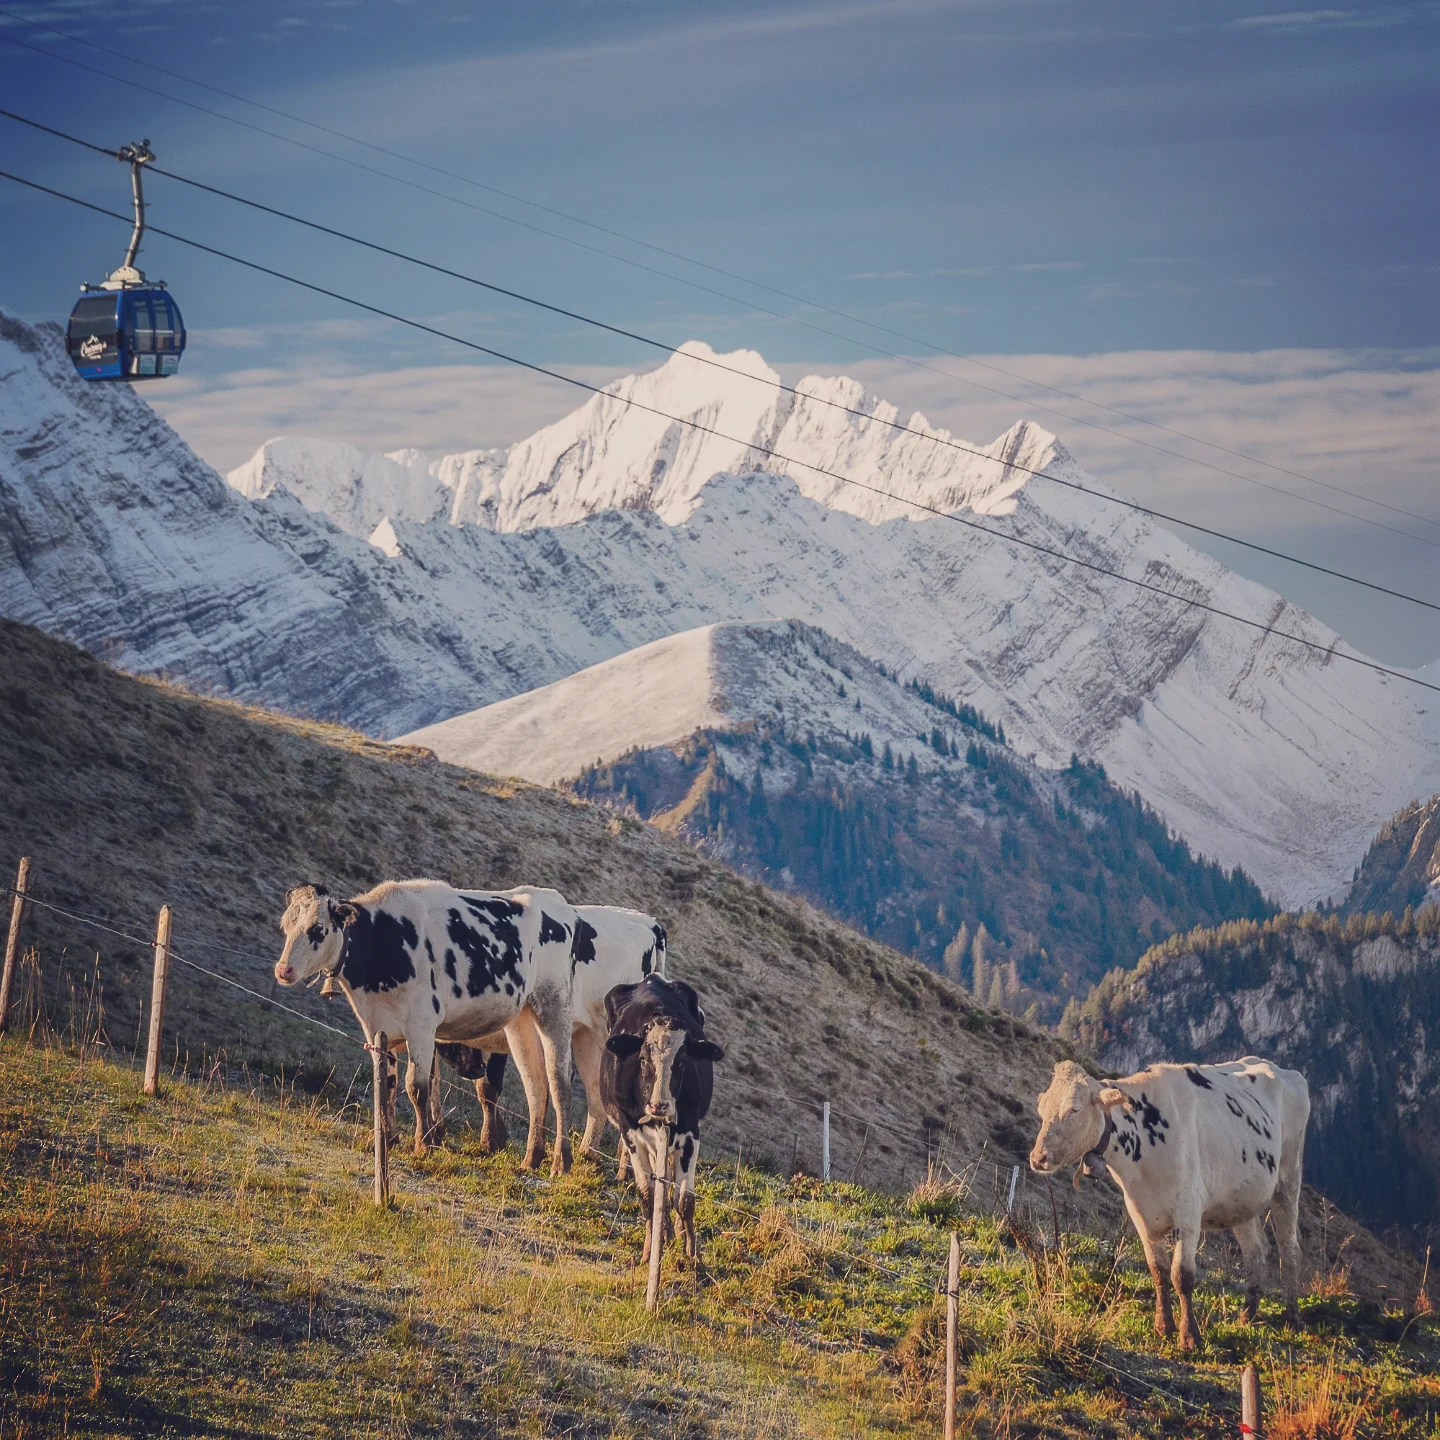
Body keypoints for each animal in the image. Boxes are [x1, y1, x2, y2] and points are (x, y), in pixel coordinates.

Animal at [274, 880, 577, 1173]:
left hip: (555, 1009)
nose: (283, 970)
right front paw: (388, 1139)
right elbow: (387, 1085)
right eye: (286, 925)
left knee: (559, 1081)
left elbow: (416, 1087)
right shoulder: (377, 1027)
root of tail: (556, 901)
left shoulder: (421, 1026)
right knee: (535, 1084)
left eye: (317, 929)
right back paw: (532, 1157)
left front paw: (423, 1145)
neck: (382, 940)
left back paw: (561, 1161)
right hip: (521, 1021)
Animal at [439, 904, 668, 1168]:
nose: (471, 1068)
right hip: (587, 1038)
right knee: (597, 1092)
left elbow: (489, 1089)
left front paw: (490, 1141)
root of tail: (650, 922)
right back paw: (589, 1154)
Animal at [600, 974, 724, 1266]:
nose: (660, 1105)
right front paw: (649, 1250)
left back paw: (672, 1229)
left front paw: (692, 1255)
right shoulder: (631, 1134)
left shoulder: (690, 1134)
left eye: (681, 1061)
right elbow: (647, 1195)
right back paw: (663, 1231)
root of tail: (651, 979)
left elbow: (685, 1199)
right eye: (643, 1059)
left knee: (669, 1183)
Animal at [1030, 1057, 1309, 1350]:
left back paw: (1294, 1318)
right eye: (1043, 1108)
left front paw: (1190, 1336)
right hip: (1242, 1200)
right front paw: (1163, 1326)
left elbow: (1181, 1275)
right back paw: (1248, 1314)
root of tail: (1280, 1069)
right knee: (1255, 1253)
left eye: (1074, 1109)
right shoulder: (1140, 1214)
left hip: (1288, 1183)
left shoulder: (1188, 1212)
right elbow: (1158, 1271)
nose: (1038, 1158)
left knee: (1290, 1251)